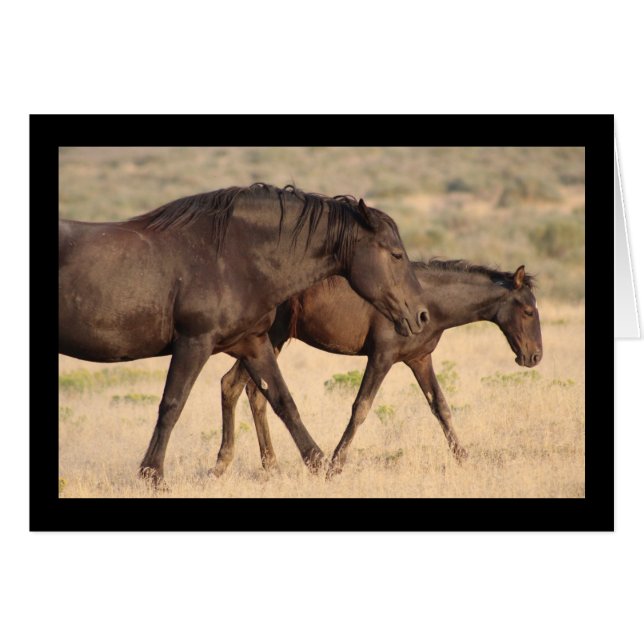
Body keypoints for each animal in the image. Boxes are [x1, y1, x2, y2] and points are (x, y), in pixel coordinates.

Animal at [59, 183, 430, 484]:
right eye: (396, 254)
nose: (421, 315)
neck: (230, 257)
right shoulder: (193, 343)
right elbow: (172, 405)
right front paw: (153, 476)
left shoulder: (253, 344)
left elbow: (283, 401)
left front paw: (321, 466)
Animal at [213, 259, 542, 478]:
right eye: (528, 311)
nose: (534, 356)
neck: (428, 300)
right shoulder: (381, 358)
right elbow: (361, 407)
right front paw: (335, 465)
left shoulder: (420, 360)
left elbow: (441, 408)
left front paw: (463, 459)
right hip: (269, 340)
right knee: (238, 386)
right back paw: (231, 463)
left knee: (247, 389)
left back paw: (266, 466)